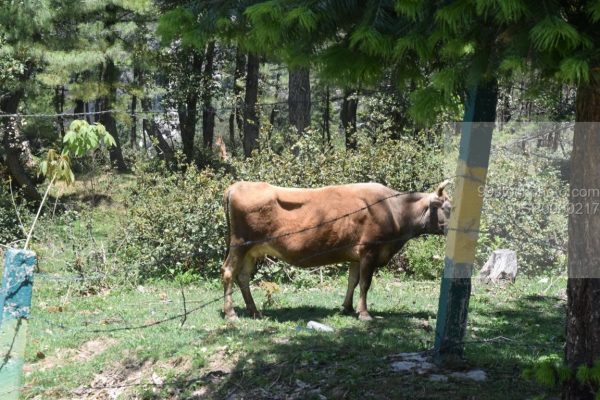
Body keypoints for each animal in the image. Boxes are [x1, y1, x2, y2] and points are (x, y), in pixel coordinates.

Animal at [220, 180, 450, 320]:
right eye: (447, 207)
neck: (394, 209)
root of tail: (236, 186)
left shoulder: (357, 255)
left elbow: (353, 281)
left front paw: (347, 307)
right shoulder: (369, 250)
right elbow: (365, 283)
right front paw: (364, 313)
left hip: (252, 250)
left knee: (243, 277)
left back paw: (254, 311)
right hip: (239, 244)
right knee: (229, 272)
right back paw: (231, 313)